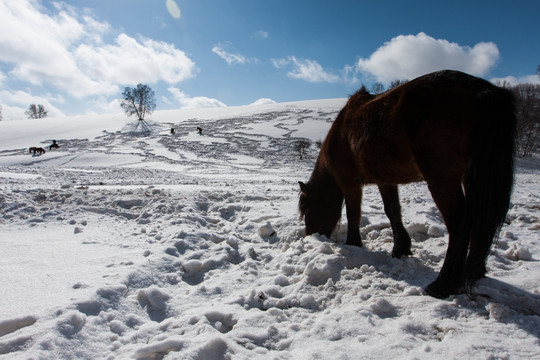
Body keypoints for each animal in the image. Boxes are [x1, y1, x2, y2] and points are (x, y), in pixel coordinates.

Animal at [298, 69, 516, 298]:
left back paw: (442, 285)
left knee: (459, 222)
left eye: (308, 210)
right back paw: (474, 270)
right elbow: (392, 210)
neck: (341, 135)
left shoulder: (350, 184)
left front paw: (353, 244)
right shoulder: (385, 181)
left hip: (441, 178)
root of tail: (480, 90)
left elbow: (353, 213)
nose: (310, 236)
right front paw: (400, 248)